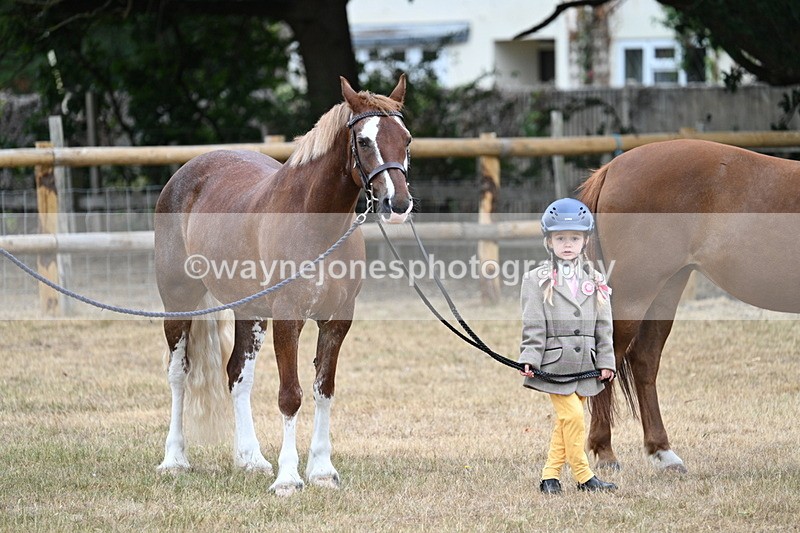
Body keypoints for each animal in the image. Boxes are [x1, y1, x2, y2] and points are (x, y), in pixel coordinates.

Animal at [153, 75, 413, 495]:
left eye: (406, 139)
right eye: (363, 141)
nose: (398, 203)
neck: (315, 223)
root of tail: (186, 173)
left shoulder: (337, 321)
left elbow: (324, 389)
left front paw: (322, 470)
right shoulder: (288, 319)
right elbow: (290, 396)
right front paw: (288, 478)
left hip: (249, 310)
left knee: (237, 375)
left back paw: (251, 459)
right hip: (179, 301)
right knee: (180, 373)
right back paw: (175, 459)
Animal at [579, 138, 800, 472]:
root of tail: (612, 169)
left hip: (666, 290)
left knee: (645, 359)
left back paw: (663, 453)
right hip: (635, 293)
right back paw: (605, 452)